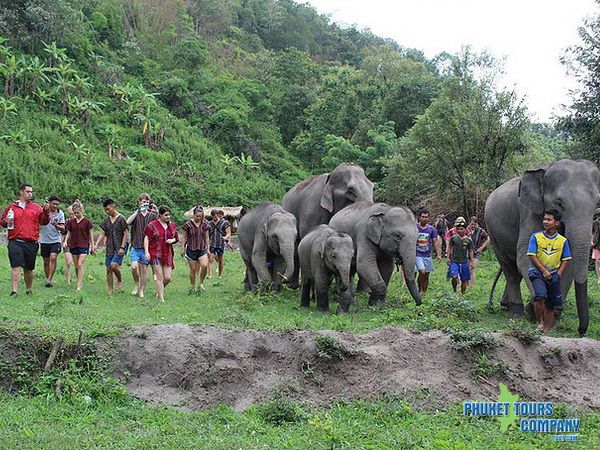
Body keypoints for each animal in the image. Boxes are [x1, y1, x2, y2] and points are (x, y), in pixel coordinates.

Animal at [482, 158, 600, 334]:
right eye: (559, 203)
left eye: (597, 204)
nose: (581, 330)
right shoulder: (529, 211)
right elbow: (525, 254)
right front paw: (535, 309)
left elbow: (568, 260)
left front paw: (552, 313)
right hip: (491, 229)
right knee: (509, 267)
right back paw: (516, 313)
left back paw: (505, 305)